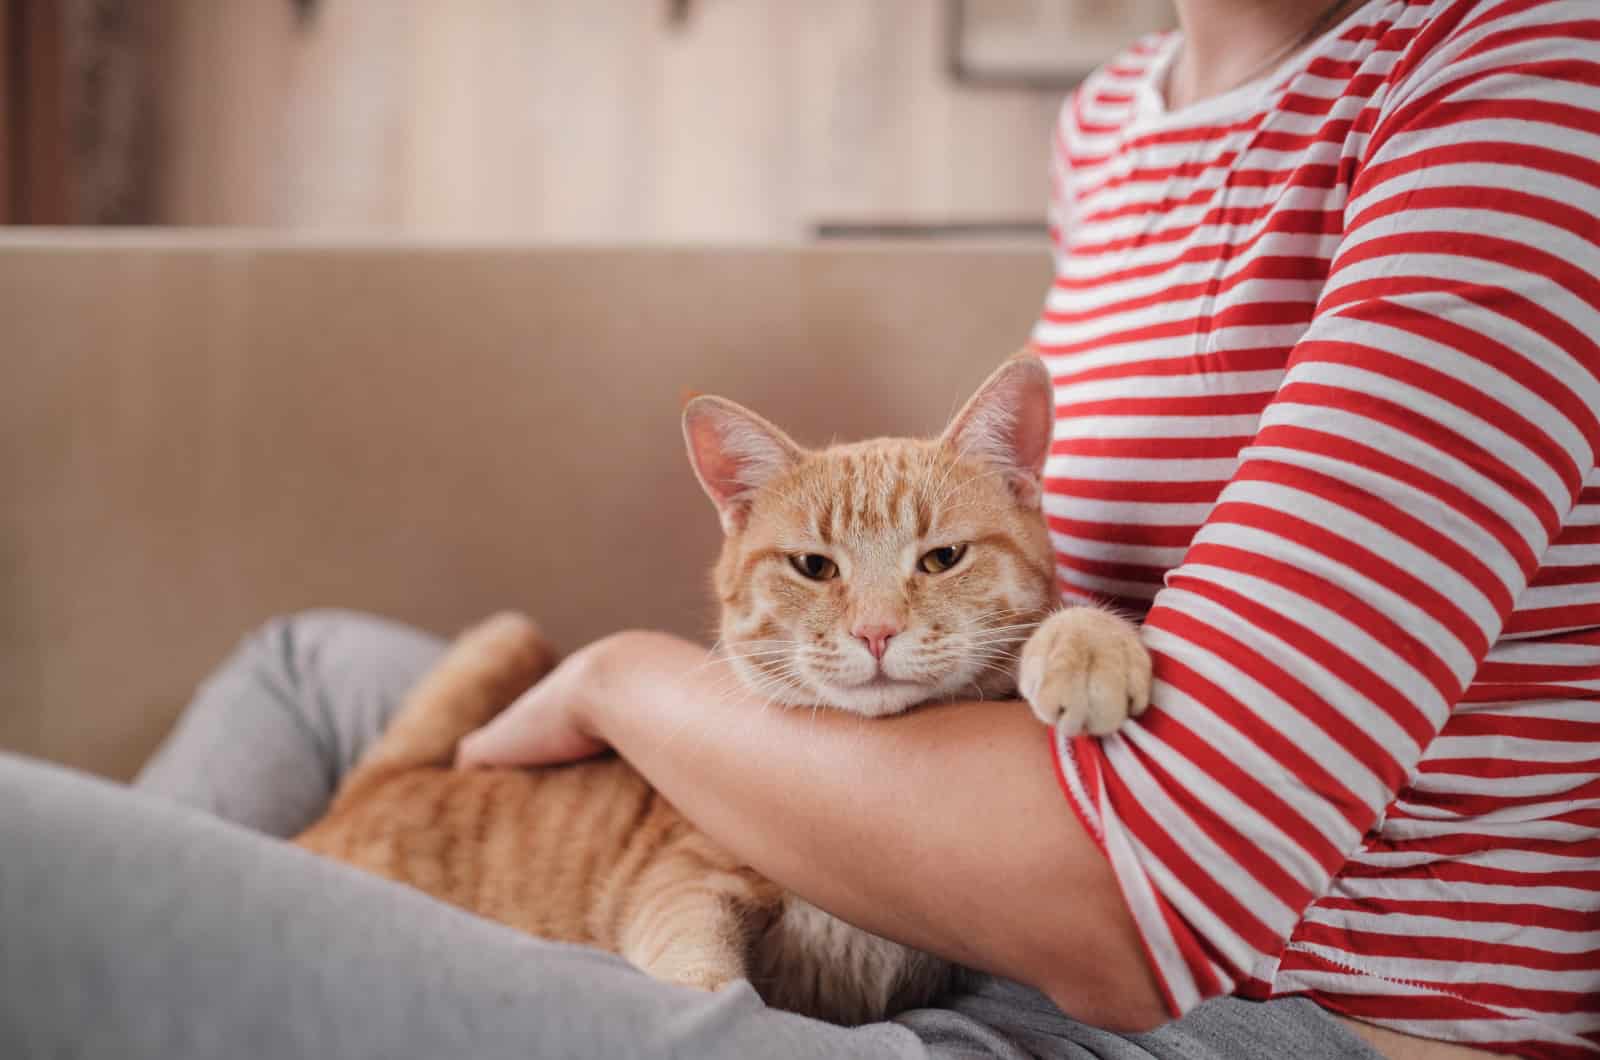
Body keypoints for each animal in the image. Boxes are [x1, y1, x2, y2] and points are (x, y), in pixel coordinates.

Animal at [297, 358, 1152, 1031]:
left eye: (942, 558)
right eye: (814, 567)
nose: (876, 632)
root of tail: (375, 788)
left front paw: (1091, 644)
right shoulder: (683, 879)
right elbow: (695, 960)